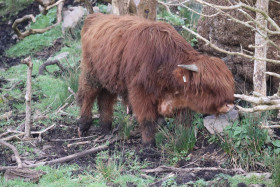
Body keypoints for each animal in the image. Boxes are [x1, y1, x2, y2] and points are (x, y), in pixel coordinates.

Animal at [76, 13, 234, 145]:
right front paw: (149, 143)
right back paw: (83, 125)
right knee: (87, 96)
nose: (229, 105)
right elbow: (147, 119)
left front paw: (183, 138)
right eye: (208, 87)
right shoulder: (140, 92)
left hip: (109, 78)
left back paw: (105, 127)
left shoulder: (182, 98)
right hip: (91, 74)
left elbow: (183, 121)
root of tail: (95, 17)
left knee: (105, 100)